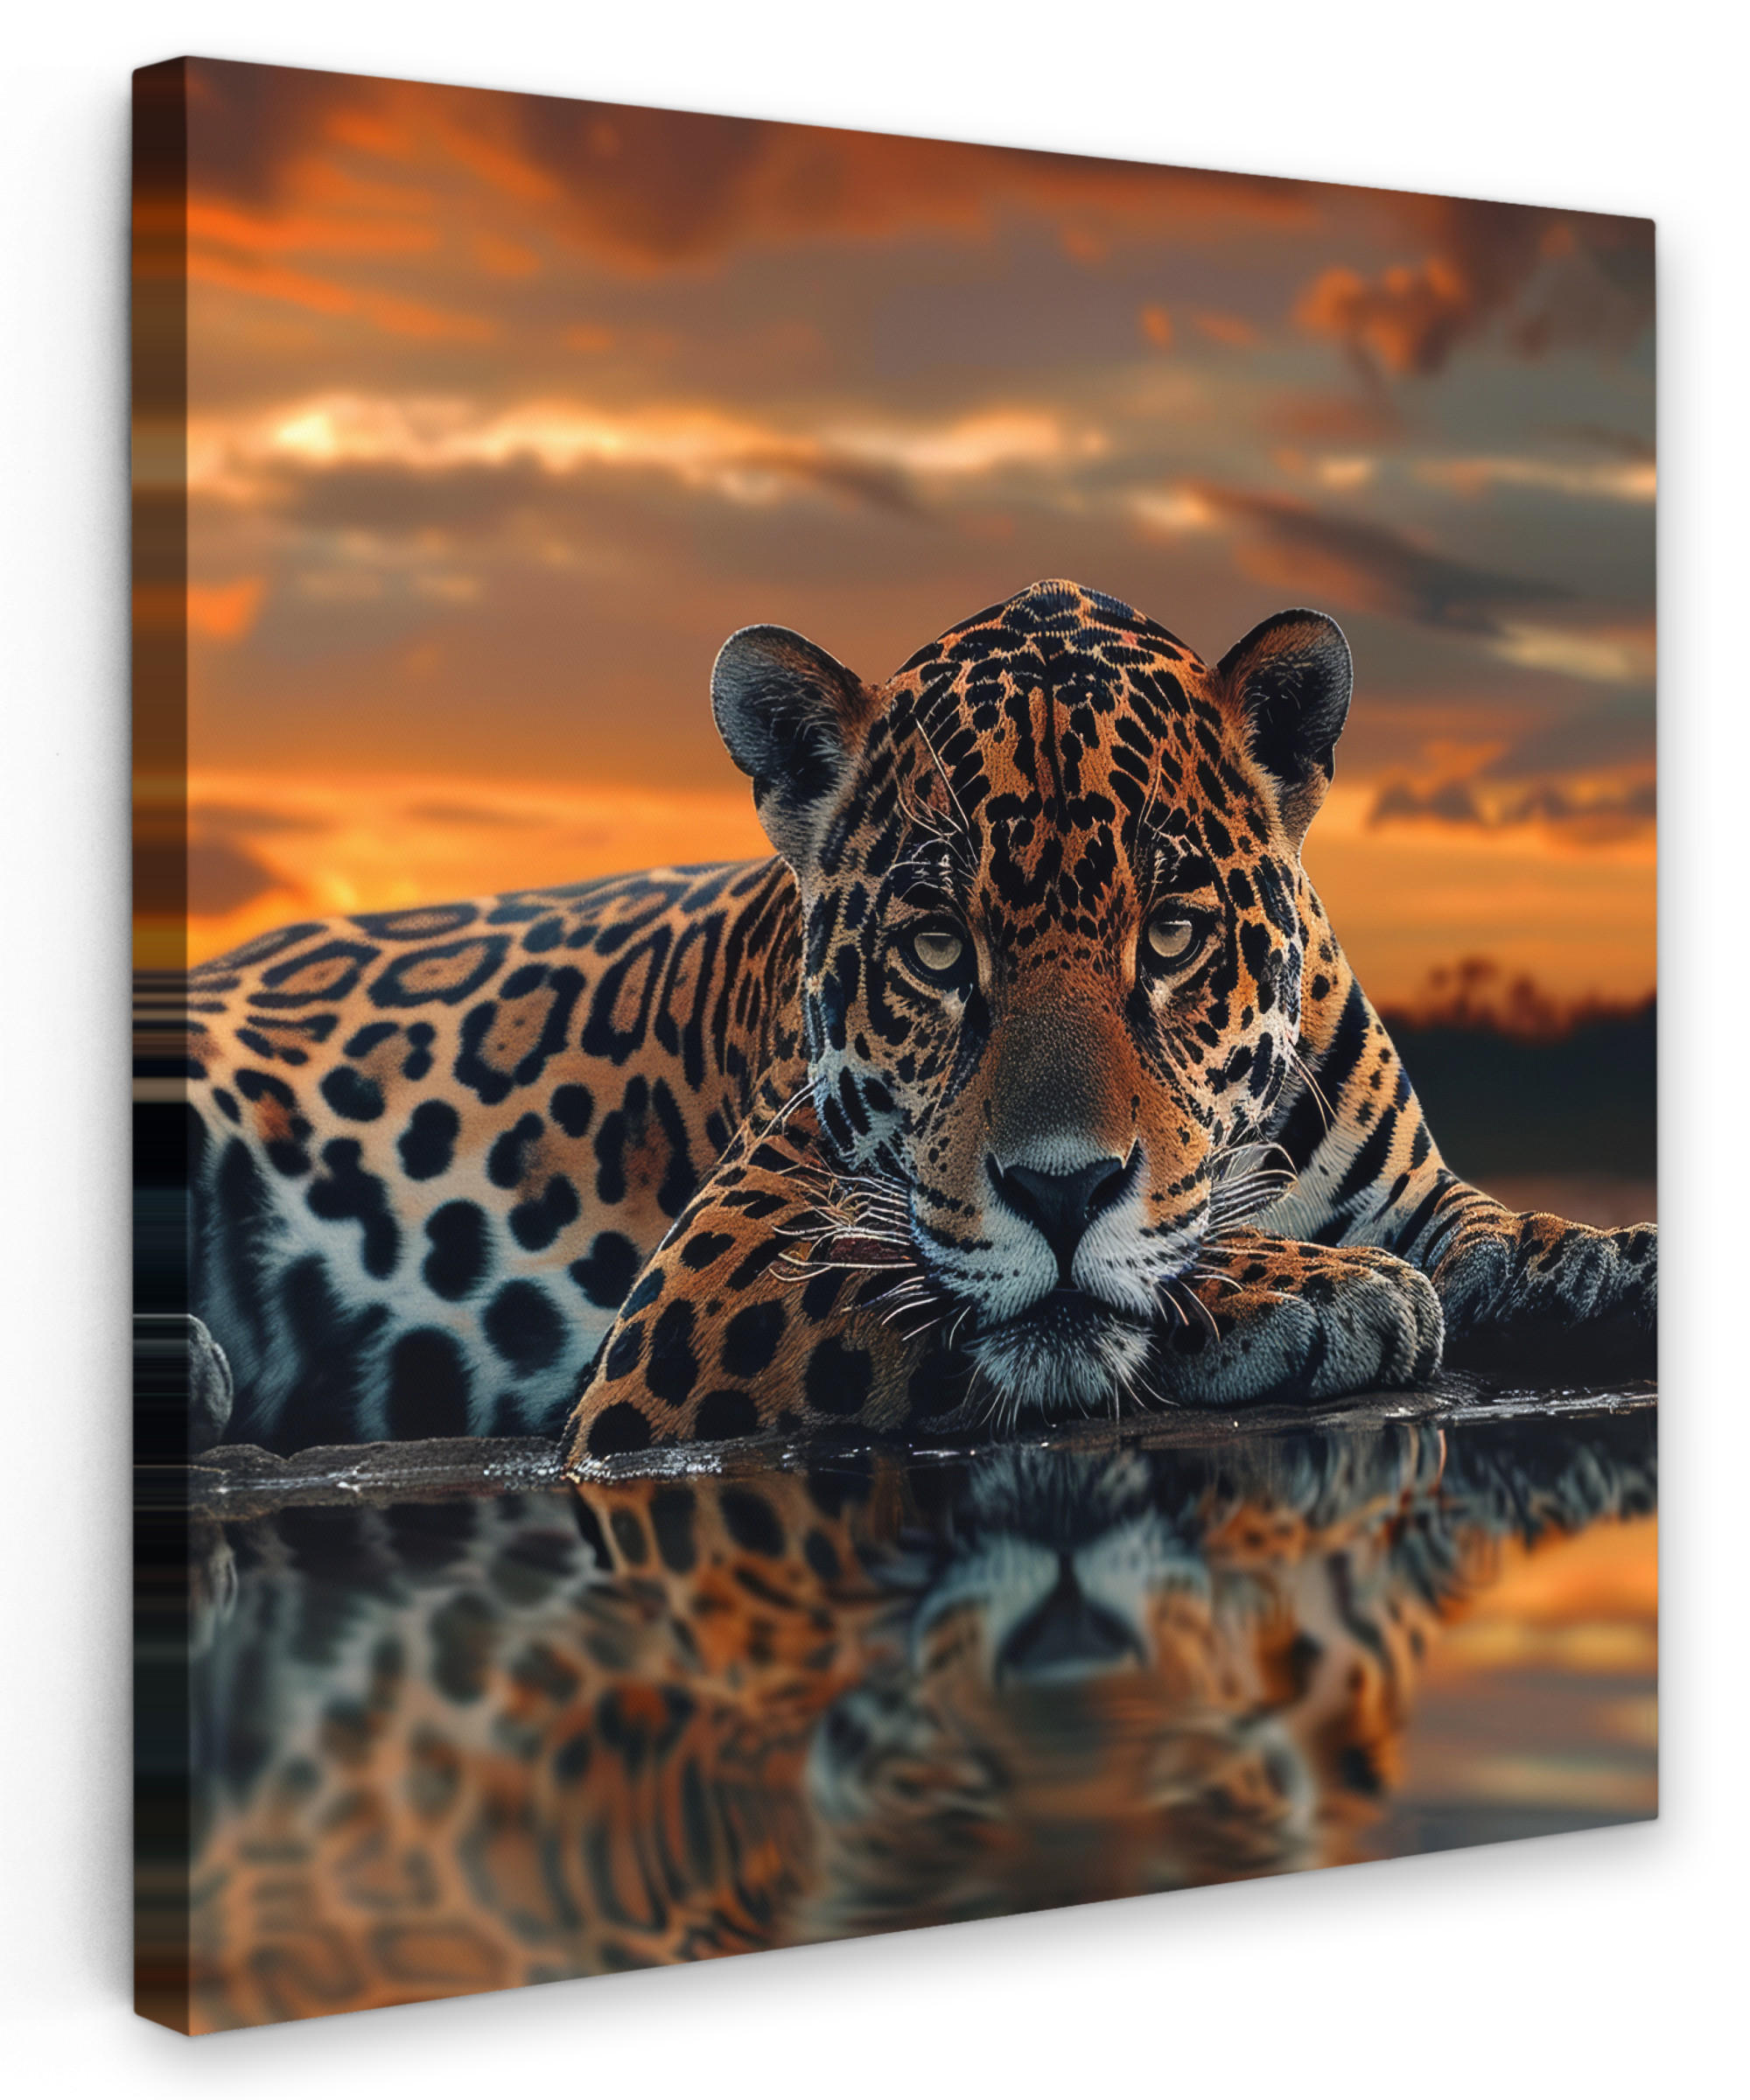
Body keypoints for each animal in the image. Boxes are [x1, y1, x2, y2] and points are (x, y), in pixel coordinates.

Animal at [143, 579, 1656, 1458]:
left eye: (1170, 936)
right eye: (937, 949)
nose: (1063, 1189)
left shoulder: (1419, 1192)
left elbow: (1498, 1229)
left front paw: (1606, 1262)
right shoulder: (715, 1274)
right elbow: (987, 1290)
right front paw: (1324, 1291)